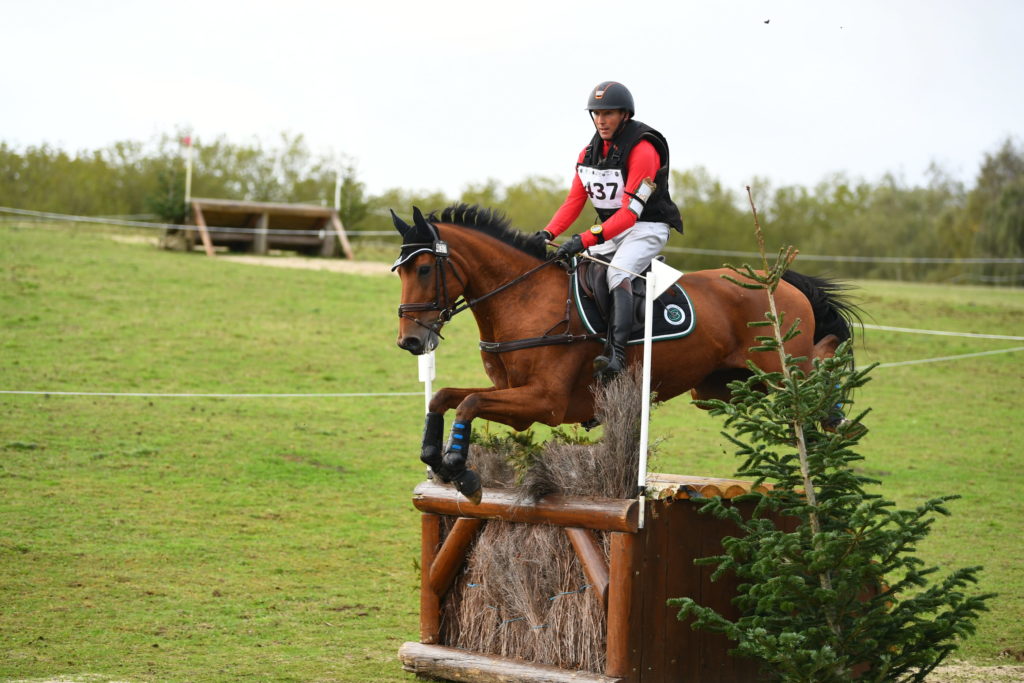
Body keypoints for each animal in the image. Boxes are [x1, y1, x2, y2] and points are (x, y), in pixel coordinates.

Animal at [391, 202, 856, 501]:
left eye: (425, 269)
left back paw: (837, 421)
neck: (524, 298)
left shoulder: (544, 402)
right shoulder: (514, 395)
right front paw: (435, 457)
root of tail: (780, 281)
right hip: (722, 389)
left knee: (813, 386)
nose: (410, 341)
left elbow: (468, 402)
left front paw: (461, 469)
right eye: (400, 272)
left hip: (778, 372)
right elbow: (444, 396)